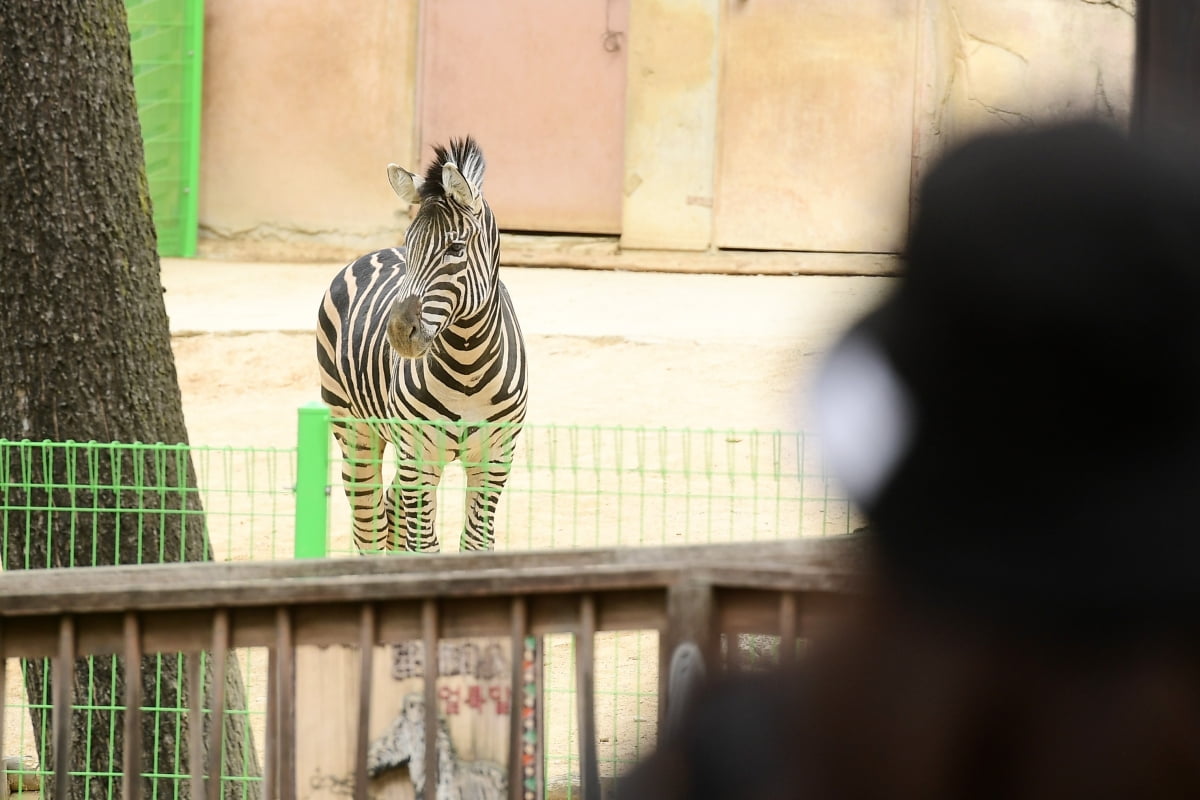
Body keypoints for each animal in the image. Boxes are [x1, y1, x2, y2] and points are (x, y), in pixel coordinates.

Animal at [316, 136, 528, 551]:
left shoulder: (495, 458)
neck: (469, 365)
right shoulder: (419, 455)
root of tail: (376, 252)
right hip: (353, 429)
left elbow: (476, 544)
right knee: (370, 523)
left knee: (392, 510)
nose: (398, 332)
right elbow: (424, 546)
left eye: (456, 249)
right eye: (410, 243)